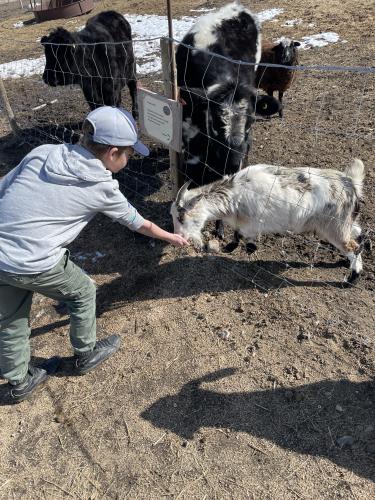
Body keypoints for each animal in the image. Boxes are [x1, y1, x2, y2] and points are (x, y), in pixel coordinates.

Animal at [172, 158, 366, 284]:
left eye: (181, 217)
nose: (178, 238)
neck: (235, 194)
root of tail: (351, 183)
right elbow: (239, 233)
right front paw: (241, 247)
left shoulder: (253, 220)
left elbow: (240, 234)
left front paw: (242, 248)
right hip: (345, 222)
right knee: (359, 234)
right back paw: (348, 260)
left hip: (335, 227)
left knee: (353, 247)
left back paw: (351, 279)